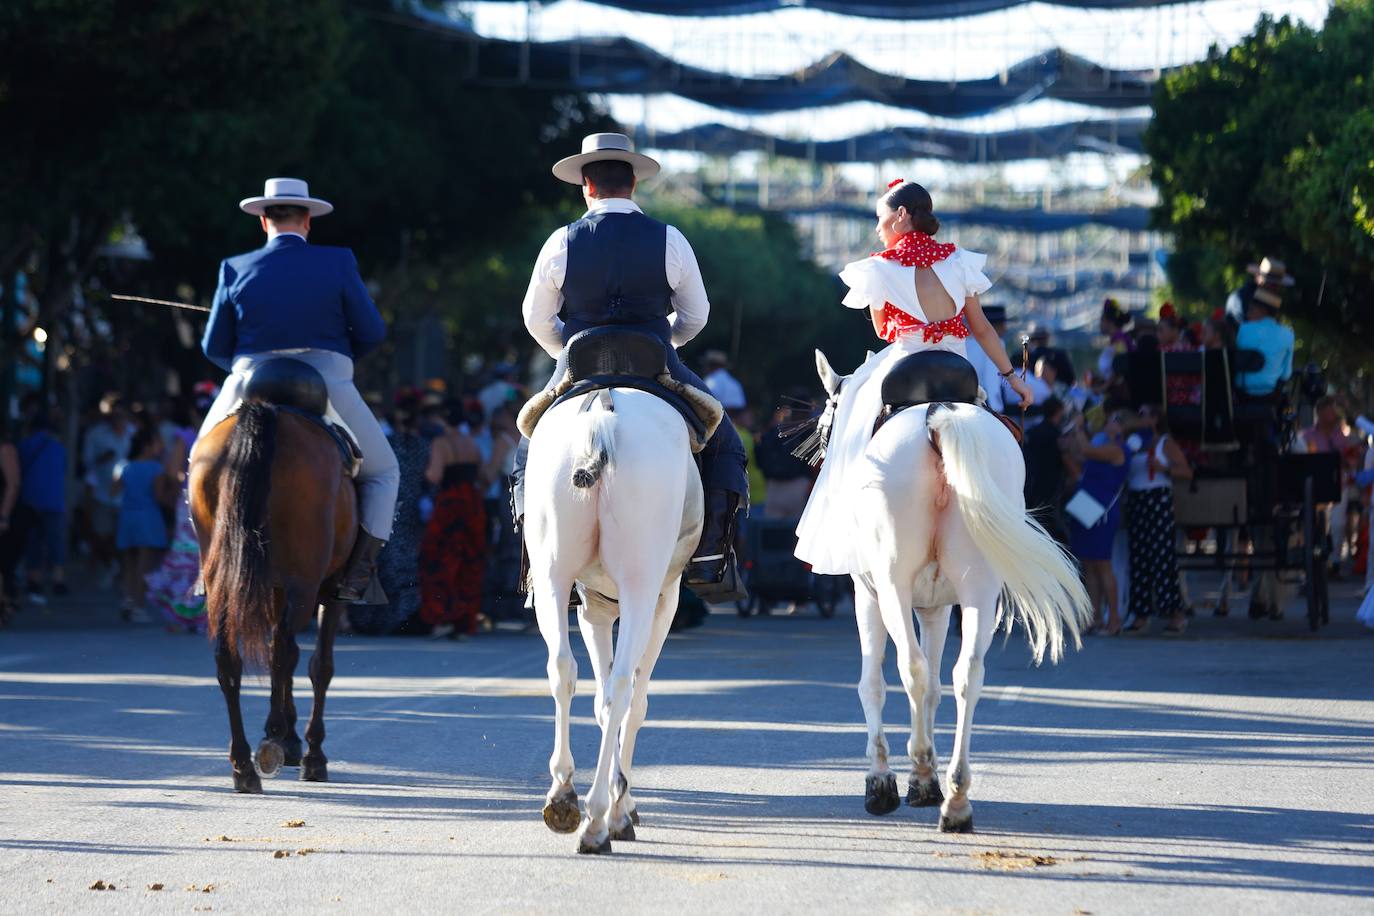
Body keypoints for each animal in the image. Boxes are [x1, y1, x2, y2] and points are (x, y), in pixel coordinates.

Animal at [190, 398, 357, 791]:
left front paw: (291, 739)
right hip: (305, 583)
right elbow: (318, 666)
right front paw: (309, 751)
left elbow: (282, 657)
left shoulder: (274, 590)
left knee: (230, 660)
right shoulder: (327, 589)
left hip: (225, 582)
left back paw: (243, 765)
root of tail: (266, 410)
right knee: (284, 651)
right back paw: (274, 743)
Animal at [519, 387, 703, 851]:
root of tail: (602, 412)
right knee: (622, 688)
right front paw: (622, 807)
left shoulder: (592, 610)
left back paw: (563, 795)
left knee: (562, 669)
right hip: (641, 583)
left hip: (553, 573)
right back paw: (598, 821)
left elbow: (599, 703)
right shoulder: (663, 603)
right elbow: (633, 704)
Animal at [813, 348, 1093, 829]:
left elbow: (877, 684)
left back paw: (928, 776)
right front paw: (920, 778)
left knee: (911, 668)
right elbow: (936, 685)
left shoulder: (869, 596)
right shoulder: (936, 608)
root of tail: (936, 414)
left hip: (892, 585)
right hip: (979, 587)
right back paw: (957, 796)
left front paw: (886, 778)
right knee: (967, 674)